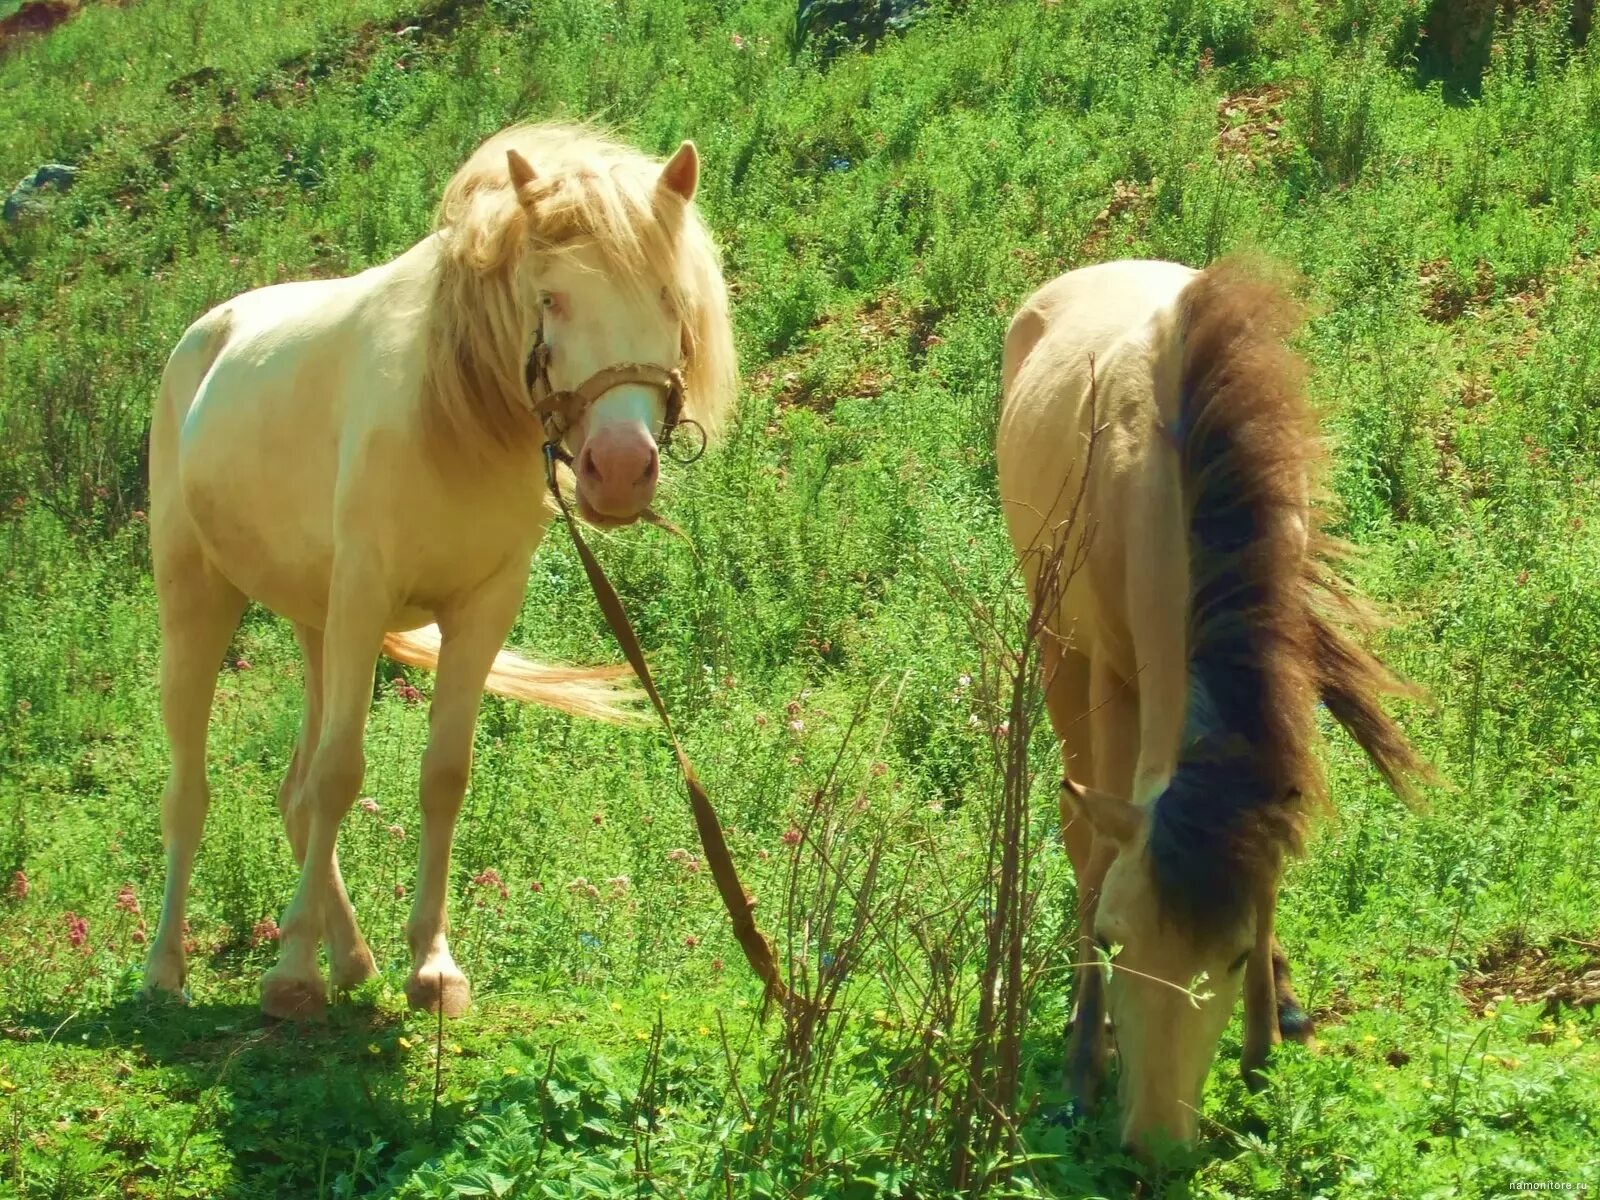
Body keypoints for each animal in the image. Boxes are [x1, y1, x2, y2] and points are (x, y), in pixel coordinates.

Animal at [144, 124, 736, 1024]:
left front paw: (430, 965)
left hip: (316, 623)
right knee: (194, 789)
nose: (620, 471)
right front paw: (291, 973)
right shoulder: (365, 597)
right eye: (551, 299)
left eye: (672, 299)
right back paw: (166, 970)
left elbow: (440, 777)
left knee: (293, 791)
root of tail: (202, 336)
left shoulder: (479, 612)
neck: (455, 412)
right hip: (199, 598)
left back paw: (351, 957)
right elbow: (343, 776)